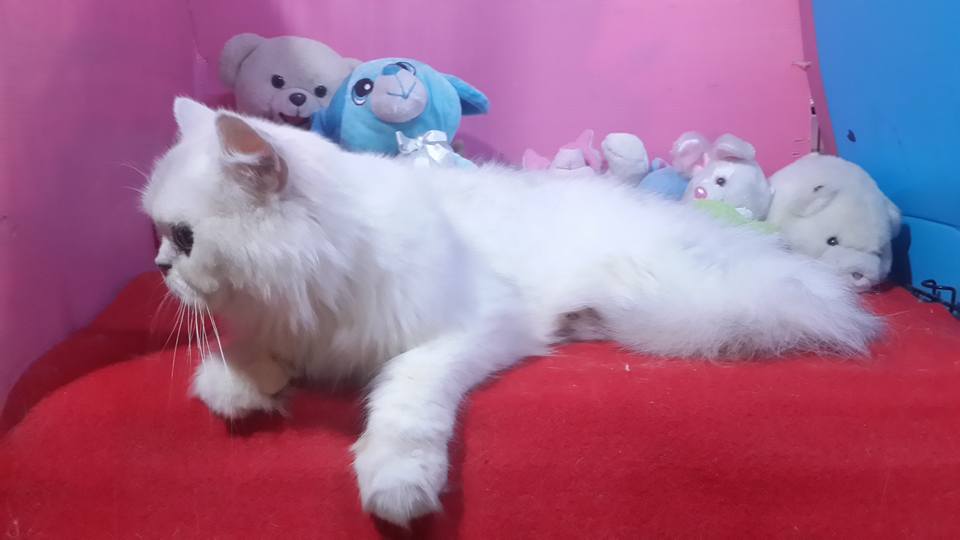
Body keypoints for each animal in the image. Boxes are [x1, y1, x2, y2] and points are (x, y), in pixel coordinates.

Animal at [142, 98, 881, 526]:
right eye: (159, 235)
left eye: (183, 238)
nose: (158, 267)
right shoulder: (293, 323)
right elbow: (249, 354)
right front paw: (239, 386)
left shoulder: (465, 332)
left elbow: (404, 401)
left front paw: (396, 483)